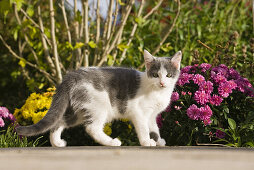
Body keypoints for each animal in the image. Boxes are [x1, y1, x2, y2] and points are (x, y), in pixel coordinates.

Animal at [15, 49, 182, 147]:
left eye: (168, 75)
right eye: (155, 74)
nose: (162, 82)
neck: (157, 92)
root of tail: (72, 76)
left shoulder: (152, 115)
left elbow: (154, 128)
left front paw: (158, 140)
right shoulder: (139, 112)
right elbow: (144, 128)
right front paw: (147, 141)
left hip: (80, 109)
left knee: (60, 121)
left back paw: (57, 143)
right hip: (99, 105)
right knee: (92, 128)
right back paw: (111, 142)